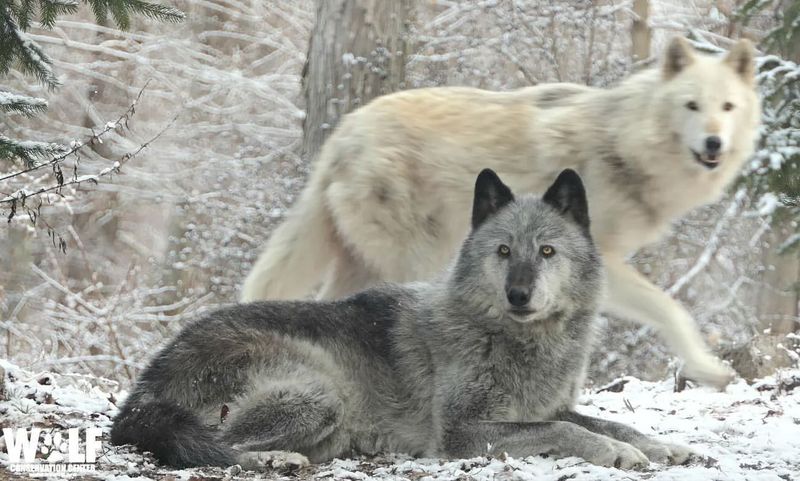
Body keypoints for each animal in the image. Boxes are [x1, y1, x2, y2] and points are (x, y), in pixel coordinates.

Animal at [109, 169, 692, 468]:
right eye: (503, 251)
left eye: (547, 251)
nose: (519, 294)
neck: (515, 340)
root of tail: (145, 387)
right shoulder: (461, 432)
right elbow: (568, 432)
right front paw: (616, 453)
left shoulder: (550, 406)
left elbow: (608, 420)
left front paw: (664, 445)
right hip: (320, 392)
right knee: (220, 449)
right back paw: (276, 462)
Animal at [239, 38, 764, 390]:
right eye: (691, 105)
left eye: (727, 106)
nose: (714, 143)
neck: (622, 144)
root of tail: (342, 134)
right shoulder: (604, 263)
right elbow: (671, 310)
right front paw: (709, 369)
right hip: (416, 262)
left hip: (366, 262)